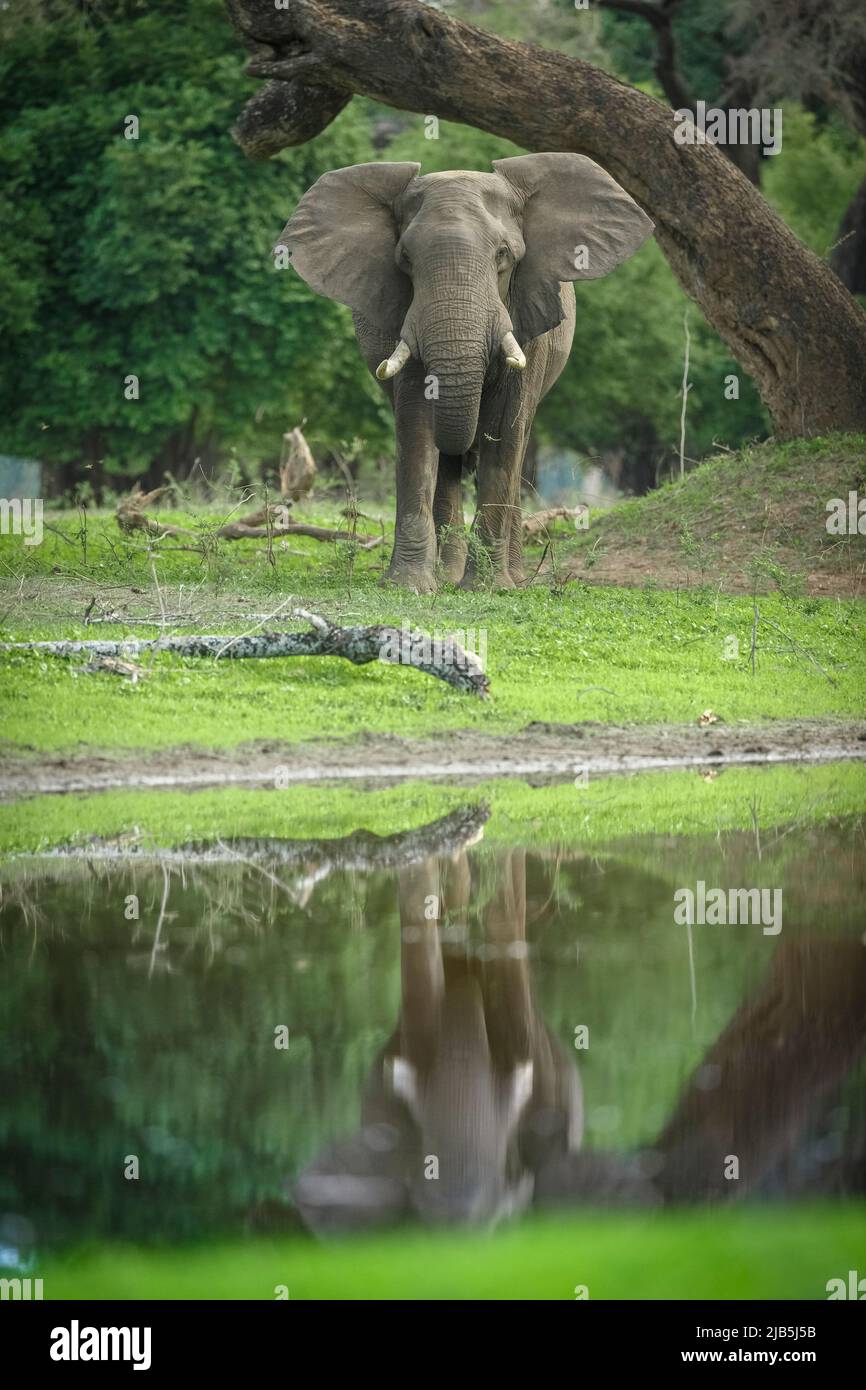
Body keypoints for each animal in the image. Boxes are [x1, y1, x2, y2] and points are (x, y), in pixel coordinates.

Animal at [279, 154, 656, 589]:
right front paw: (409, 586)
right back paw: (448, 575)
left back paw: (511, 576)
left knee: (518, 444)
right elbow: (417, 429)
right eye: (405, 259)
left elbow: (505, 436)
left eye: (503, 255)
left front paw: (489, 588)